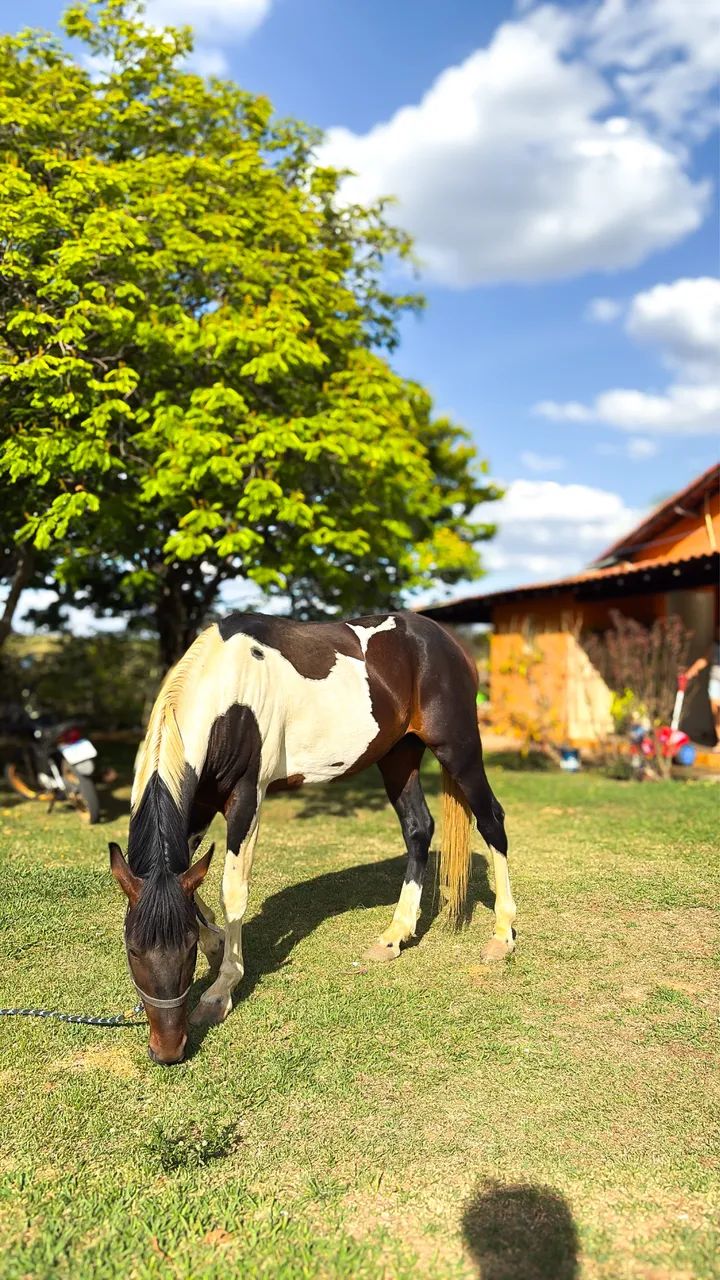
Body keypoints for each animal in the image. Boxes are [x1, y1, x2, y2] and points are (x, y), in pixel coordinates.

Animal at [109, 610, 516, 1064]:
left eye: (185, 948)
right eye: (132, 949)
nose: (167, 1049)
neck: (228, 695)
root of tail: (446, 640)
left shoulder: (246, 798)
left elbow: (233, 892)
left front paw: (220, 990)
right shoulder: (197, 802)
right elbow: (190, 880)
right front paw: (216, 942)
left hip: (457, 747)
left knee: (492, 821)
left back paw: (502, 934)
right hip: (400, 754)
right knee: (418, 828)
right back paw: (395, 935)